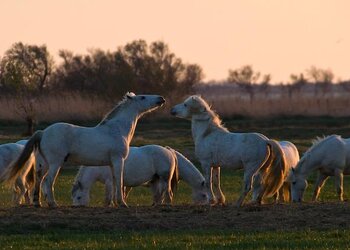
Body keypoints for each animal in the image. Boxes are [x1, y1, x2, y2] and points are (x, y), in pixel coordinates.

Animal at [5, 92, 164, 207]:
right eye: (142, 97)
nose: (161, 98)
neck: (116, 129)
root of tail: (43, 132)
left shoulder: (111, 164)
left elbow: (114, 182)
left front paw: (114, 203)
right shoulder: (118, 160)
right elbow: (119, 181)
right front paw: (122, 203)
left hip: (42, 164)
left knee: (39, 180)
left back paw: (37, 203)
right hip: (55, 163)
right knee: (48, 181)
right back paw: (53, 204)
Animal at [71, 146, 208, 206]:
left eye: (78, 197)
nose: (75, 207)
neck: (99, 165)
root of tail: (169, 151)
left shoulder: (109, 181)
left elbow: (108, 197)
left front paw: (109, 205)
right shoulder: (117, 182)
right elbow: (117, 194)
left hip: (164, 178)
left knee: (167, 192)